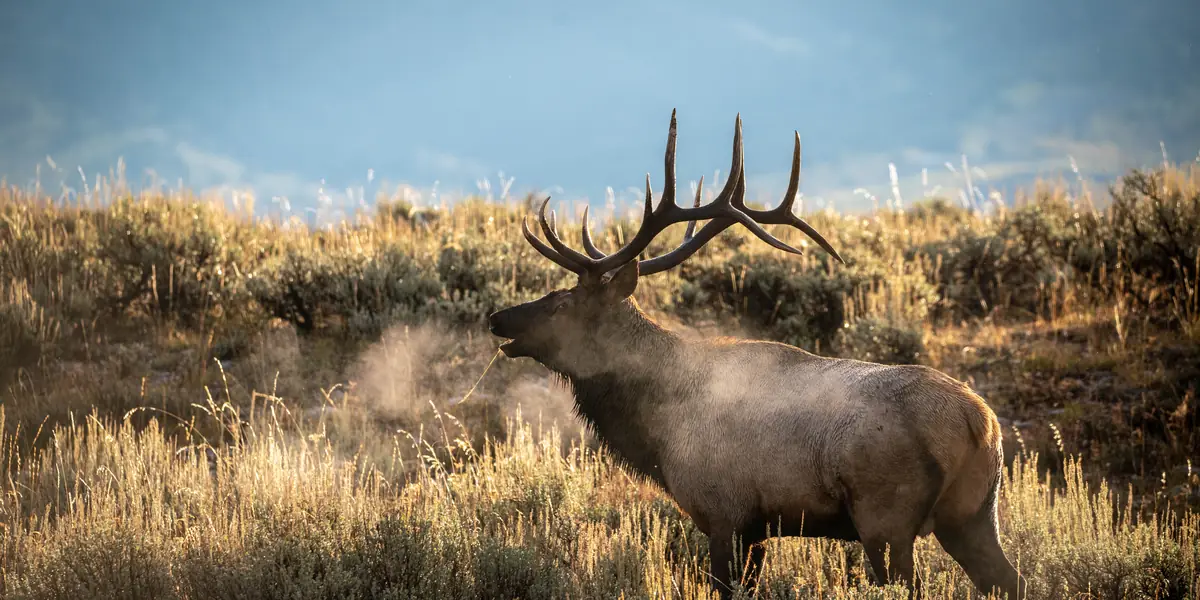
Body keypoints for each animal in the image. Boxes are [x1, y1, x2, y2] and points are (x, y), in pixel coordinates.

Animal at [487, 110, 1028, 599]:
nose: (497, 318)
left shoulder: (724, 512)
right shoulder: (758, 527)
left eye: (564, 303)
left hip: (885, 517)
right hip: (974, 513)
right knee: (1011, 581)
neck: (657, 432)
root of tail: (981, 424)